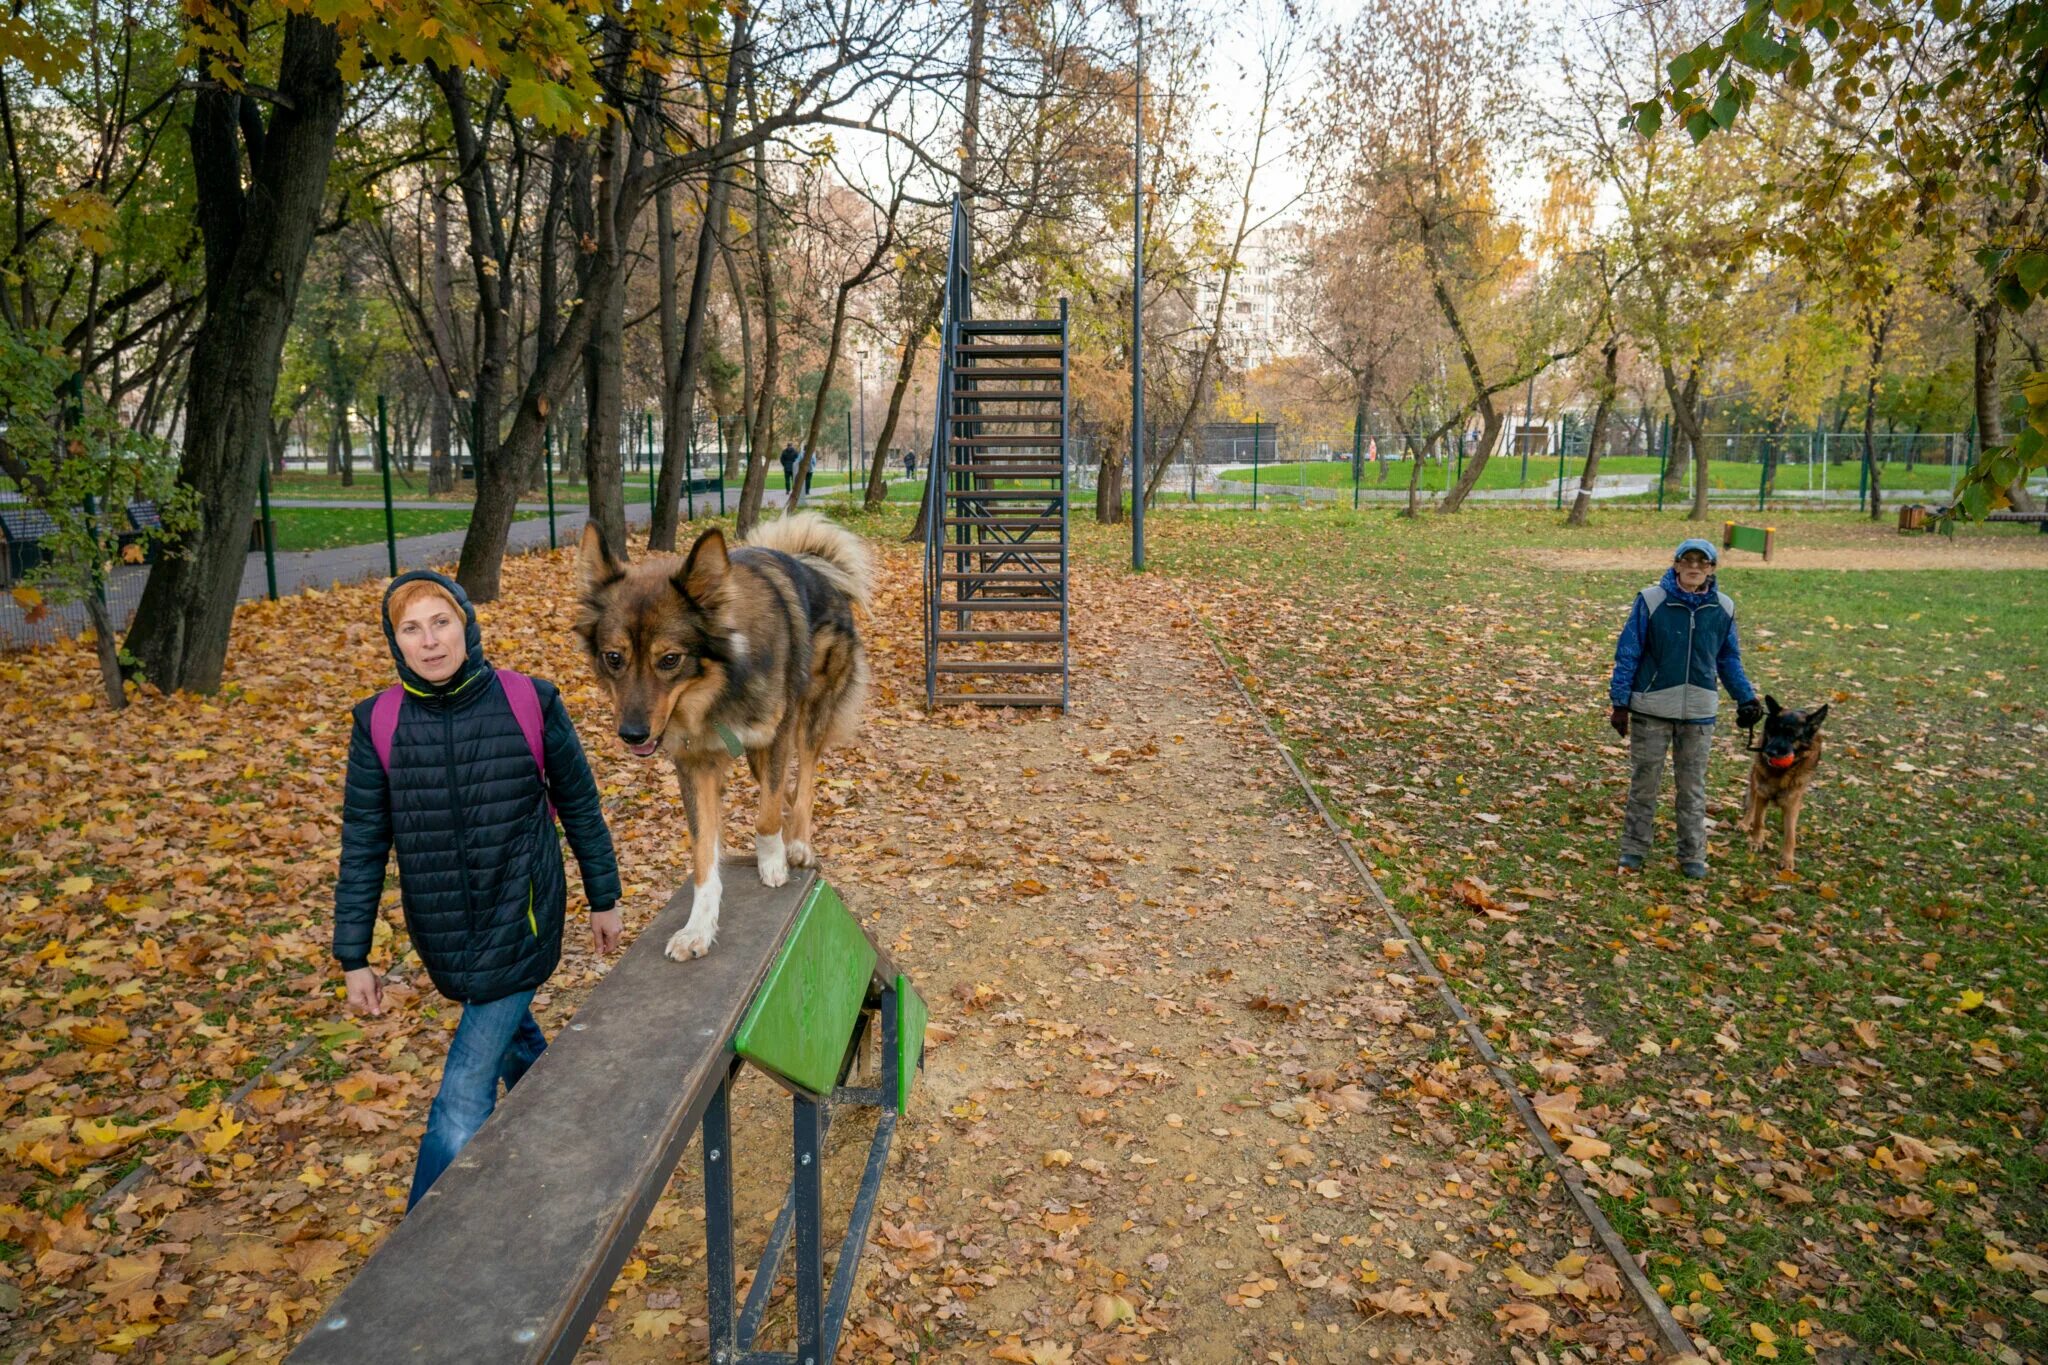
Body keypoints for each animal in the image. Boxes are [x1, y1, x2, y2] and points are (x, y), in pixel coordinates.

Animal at [573, 511, 876, 961]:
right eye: (614, 658)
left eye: (670, 660)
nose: (631, 735)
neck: (719, 685)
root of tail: (814, 566)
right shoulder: (695, 765)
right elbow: (704, 854)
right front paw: (698, 927)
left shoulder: (776, 737)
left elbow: (766, 815)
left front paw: (772, 863)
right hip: (754, 756)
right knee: (786, 790)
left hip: (808, 718)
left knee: (803, 780)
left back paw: (798, 844)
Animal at [1736, 695, 1835, 875]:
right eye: (1773, 731)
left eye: (1791, 735)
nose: (1768, 752)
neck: (1781, 772)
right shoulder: (1762, 793)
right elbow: (1759, 821)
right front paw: (1756, 841)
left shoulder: (1792, 802)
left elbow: (1790, 835)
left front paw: (1788, 860)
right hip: (1755, 779)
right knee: (1752, 804)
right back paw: (1745, 823)